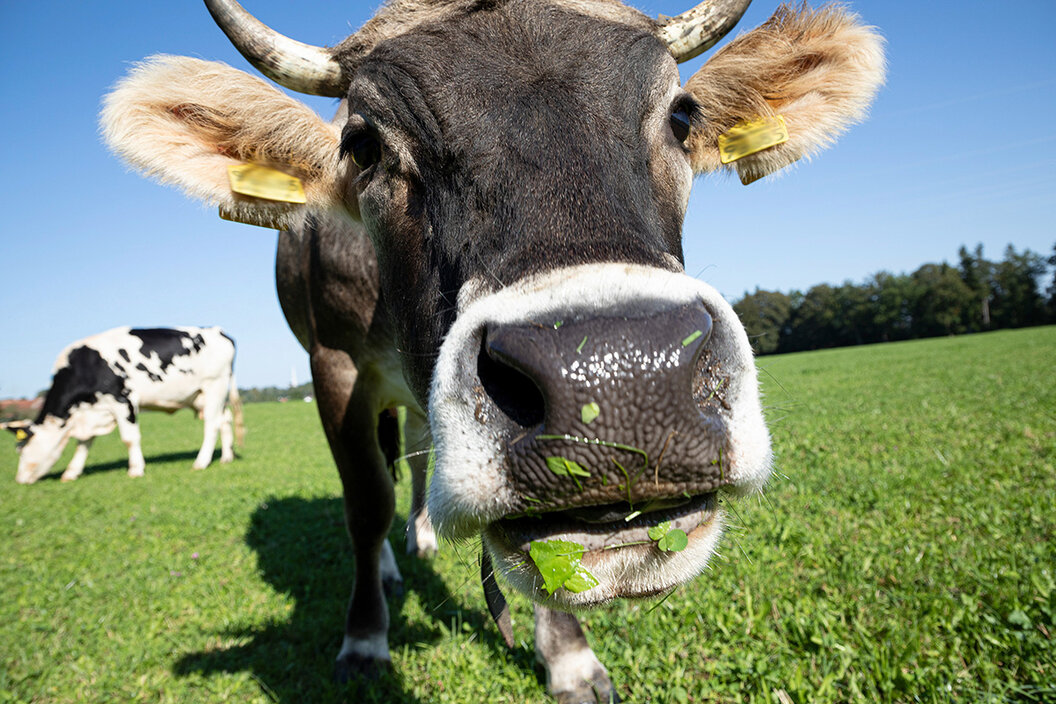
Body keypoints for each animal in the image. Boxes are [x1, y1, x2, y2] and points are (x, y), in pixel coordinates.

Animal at [8, 327, 242, 485]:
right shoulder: (92, 411)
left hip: (214, 386)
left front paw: (136, 469)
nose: (19, 479)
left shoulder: (123, 399)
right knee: (225, 419)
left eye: (22, 449)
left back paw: (201, 462)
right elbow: (83, 443)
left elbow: (130, 439)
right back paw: (226, 458)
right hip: (202, 395)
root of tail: (218, 331)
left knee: (212, 424)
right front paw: (71, 473)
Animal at [102, 2, 887, 700]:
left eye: (681, 116)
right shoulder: (333, 366)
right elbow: (365, 502)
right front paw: (364, 639)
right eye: (362, 145)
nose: (619, 375)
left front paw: (568, 658)